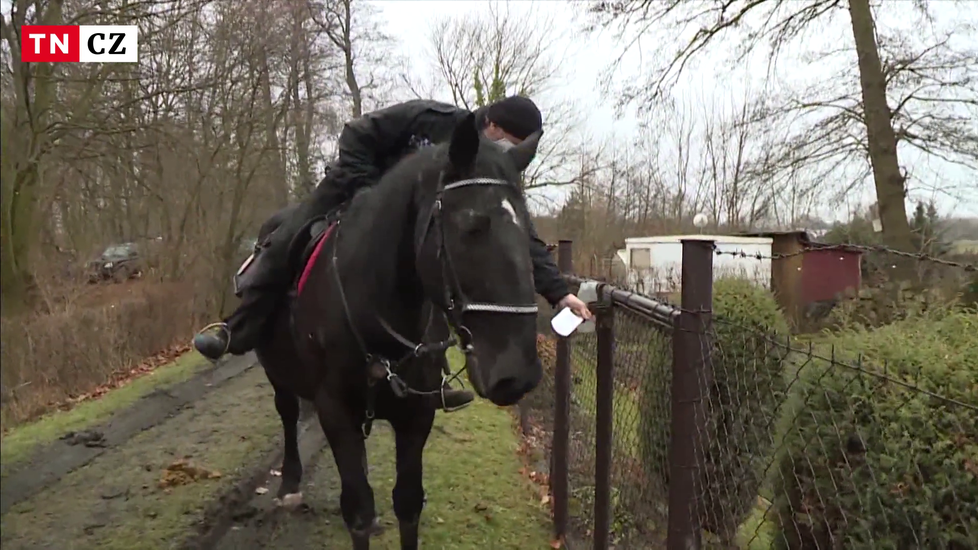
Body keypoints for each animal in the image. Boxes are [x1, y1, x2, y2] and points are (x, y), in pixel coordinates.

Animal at [252, 113, 540, 550]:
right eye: (471, 226)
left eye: (528, 231)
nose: (517, 373)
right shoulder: (335, 412)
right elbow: (357, 510)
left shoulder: (416, 416)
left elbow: (407, 504)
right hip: (277, 373)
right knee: (286, 411)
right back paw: (288, 484)